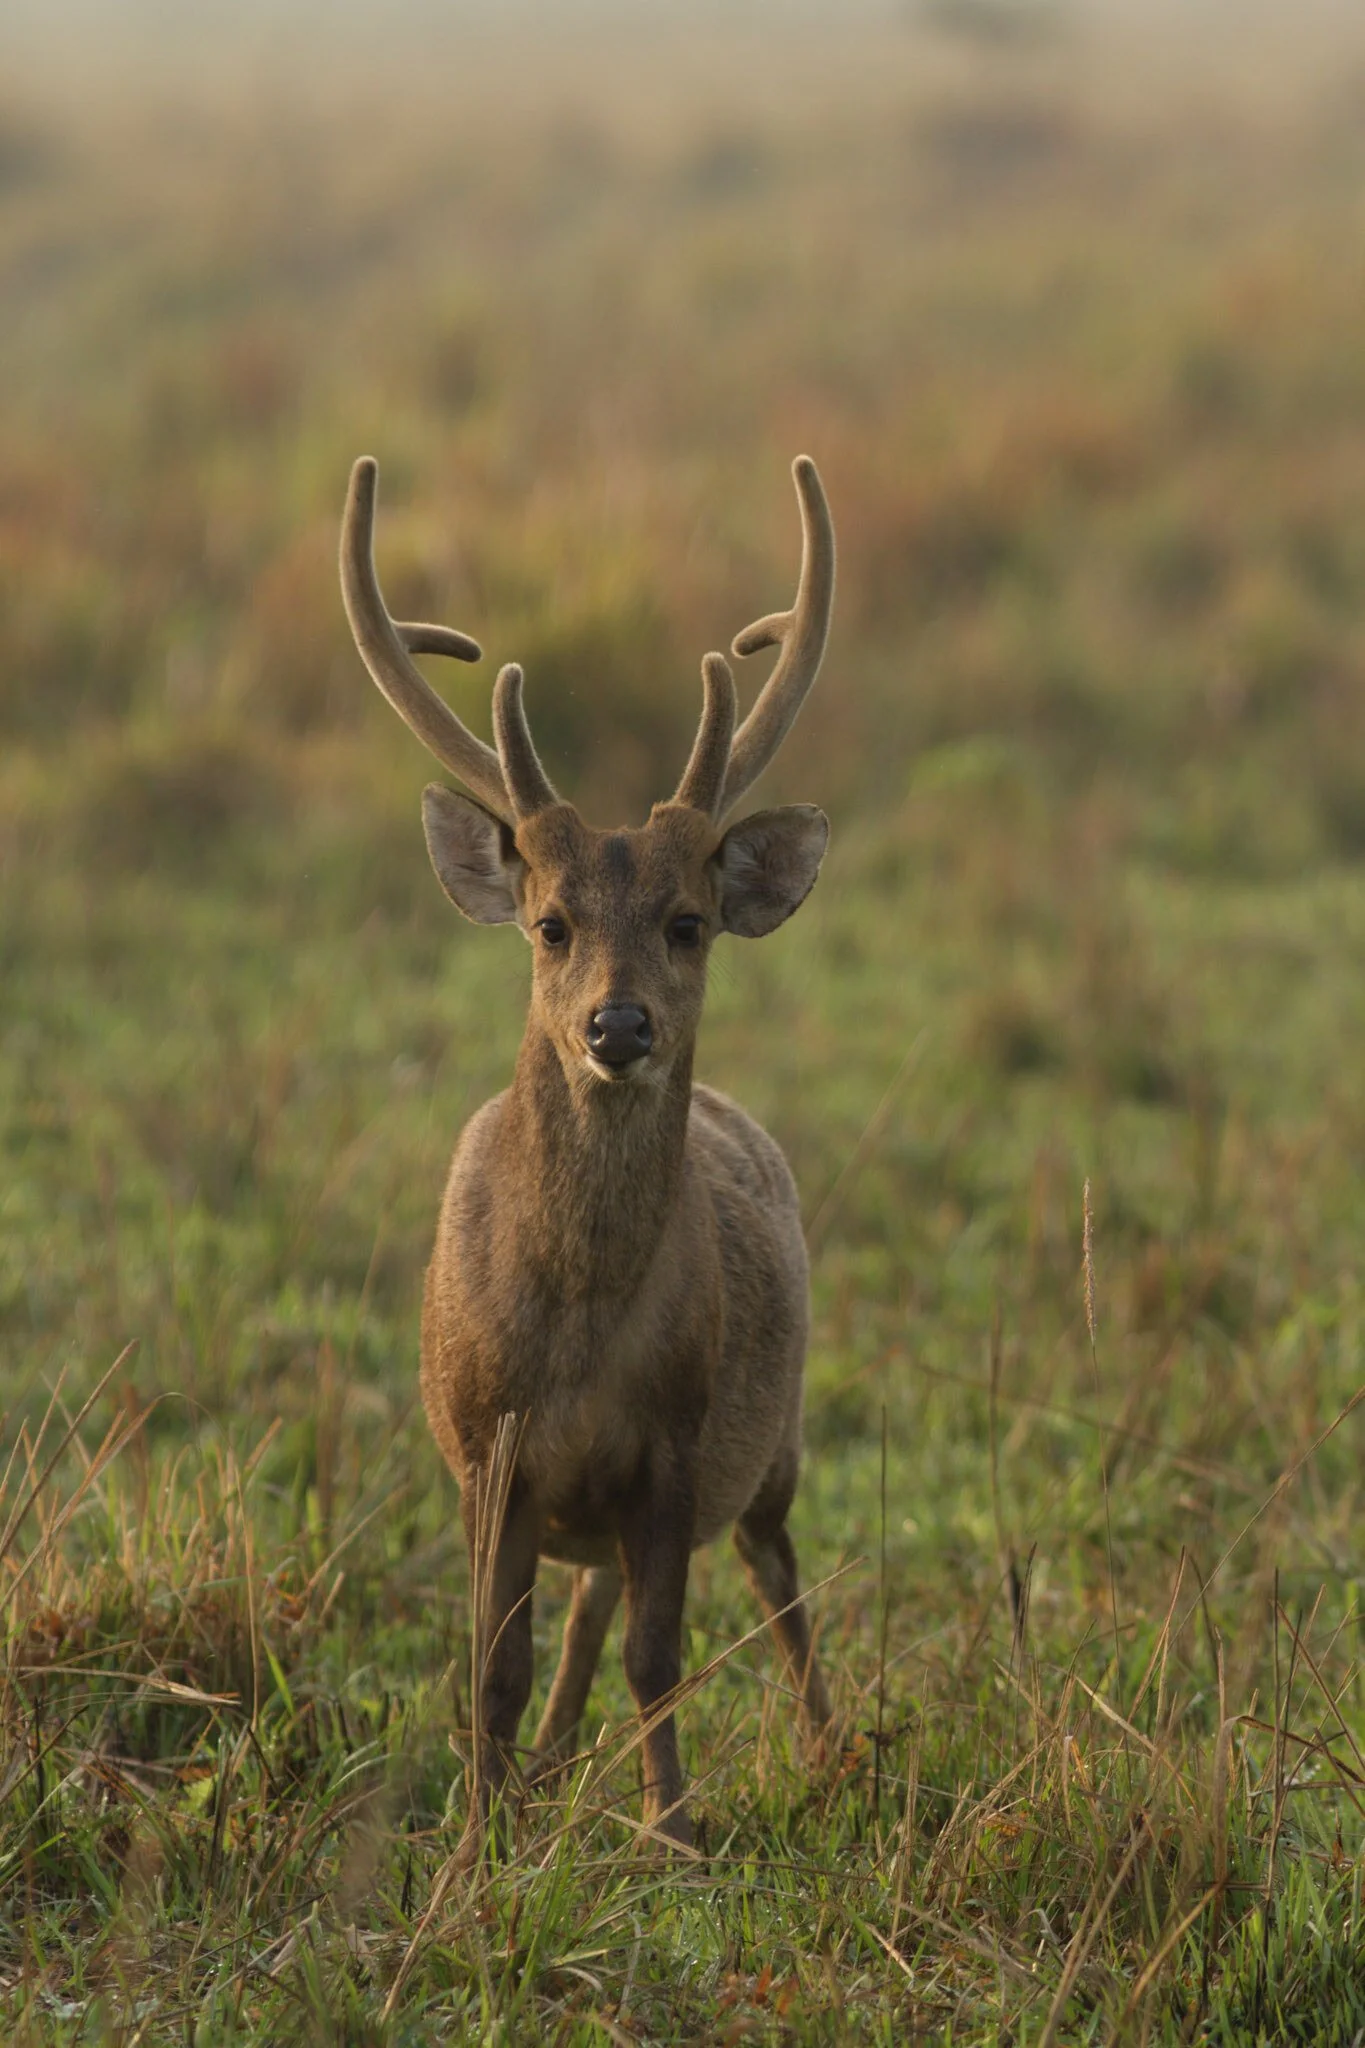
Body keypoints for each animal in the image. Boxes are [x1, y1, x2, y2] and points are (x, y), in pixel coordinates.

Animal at [339, 453, 836, 1855]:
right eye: (550, 923)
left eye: (688, 920)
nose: (620, 1026)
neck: (574, 1335)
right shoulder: (480, 1447)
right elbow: (491, 1667)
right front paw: (474, 1834)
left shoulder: (678, 1435)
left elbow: (659, 1654)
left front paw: (675, 1829)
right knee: (580, 1614)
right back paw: (550, 1771)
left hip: (775, 1438)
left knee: (773, 1577)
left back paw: (832, 1751)